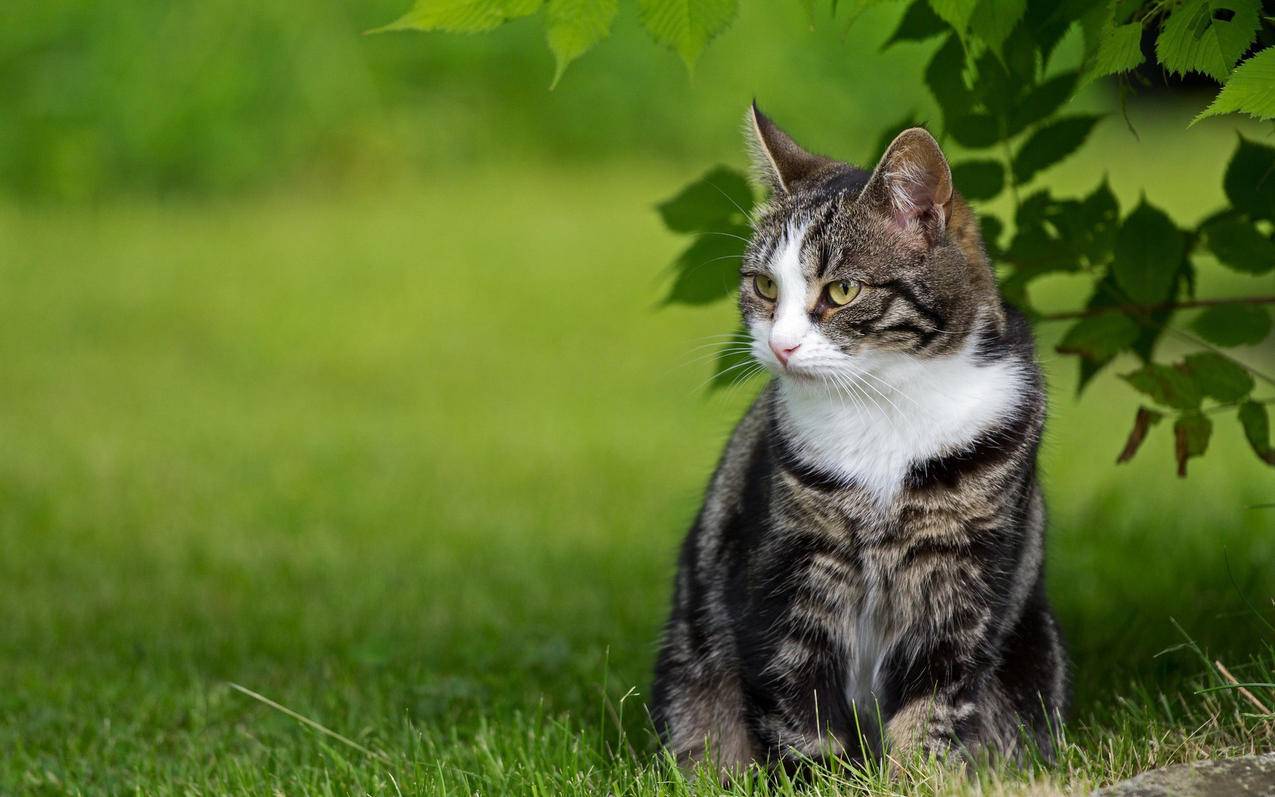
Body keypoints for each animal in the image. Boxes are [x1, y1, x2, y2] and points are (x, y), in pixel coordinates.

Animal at [647, 105, 1065, 775]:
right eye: (765, 287)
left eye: (842, 290)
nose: (780, 345)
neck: (884, 407)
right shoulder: (786, 572)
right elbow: (799, 711)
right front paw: (821, 779)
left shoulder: (963, 579)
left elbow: (933, 703)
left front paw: (919, 778)